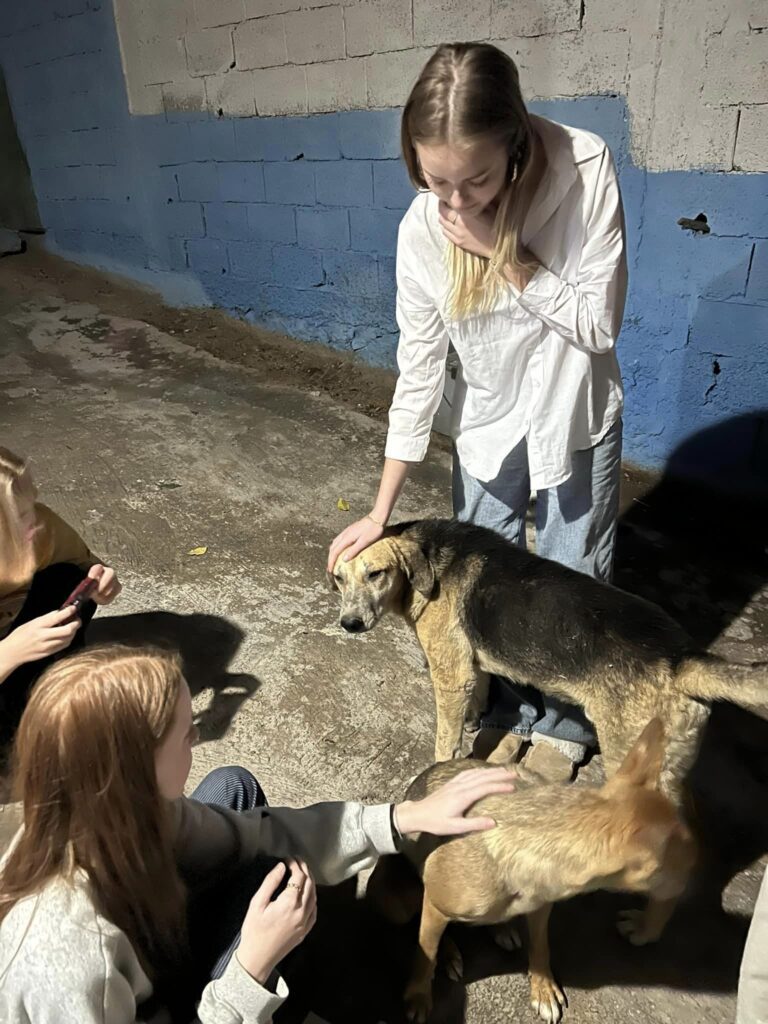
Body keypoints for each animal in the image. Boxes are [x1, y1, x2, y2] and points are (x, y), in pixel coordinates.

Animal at [331, 520, 768, 806]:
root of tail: (681, 658)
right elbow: (481, 692)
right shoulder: (472, 664)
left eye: (376, 573)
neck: (428, 560)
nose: (349, 624)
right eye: (338, 579)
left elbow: (445, 742)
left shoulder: (450, 673)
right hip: (672, 766)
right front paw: (476, 721)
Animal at [366, 720, 696, 1024]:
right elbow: (426, 952)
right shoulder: (436, 908)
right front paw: (420, 993)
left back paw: (500, 928)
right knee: (422, 926)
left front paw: (542, 987)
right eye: (679, 859)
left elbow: (541, 946)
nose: (698, 867)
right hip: (398, 903)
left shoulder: (541, 905)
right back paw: (449, 953)